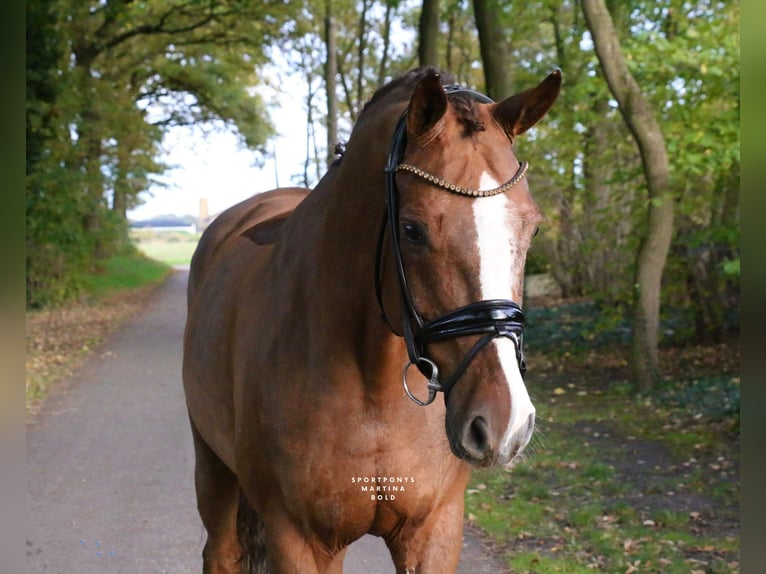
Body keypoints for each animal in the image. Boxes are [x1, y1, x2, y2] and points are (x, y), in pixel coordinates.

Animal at [183, 66, 561, 574]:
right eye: (412, 230)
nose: (503, 423)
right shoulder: (298, 539)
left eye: (532, 228)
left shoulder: (434, 531)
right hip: (212, 466)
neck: (371, 384)